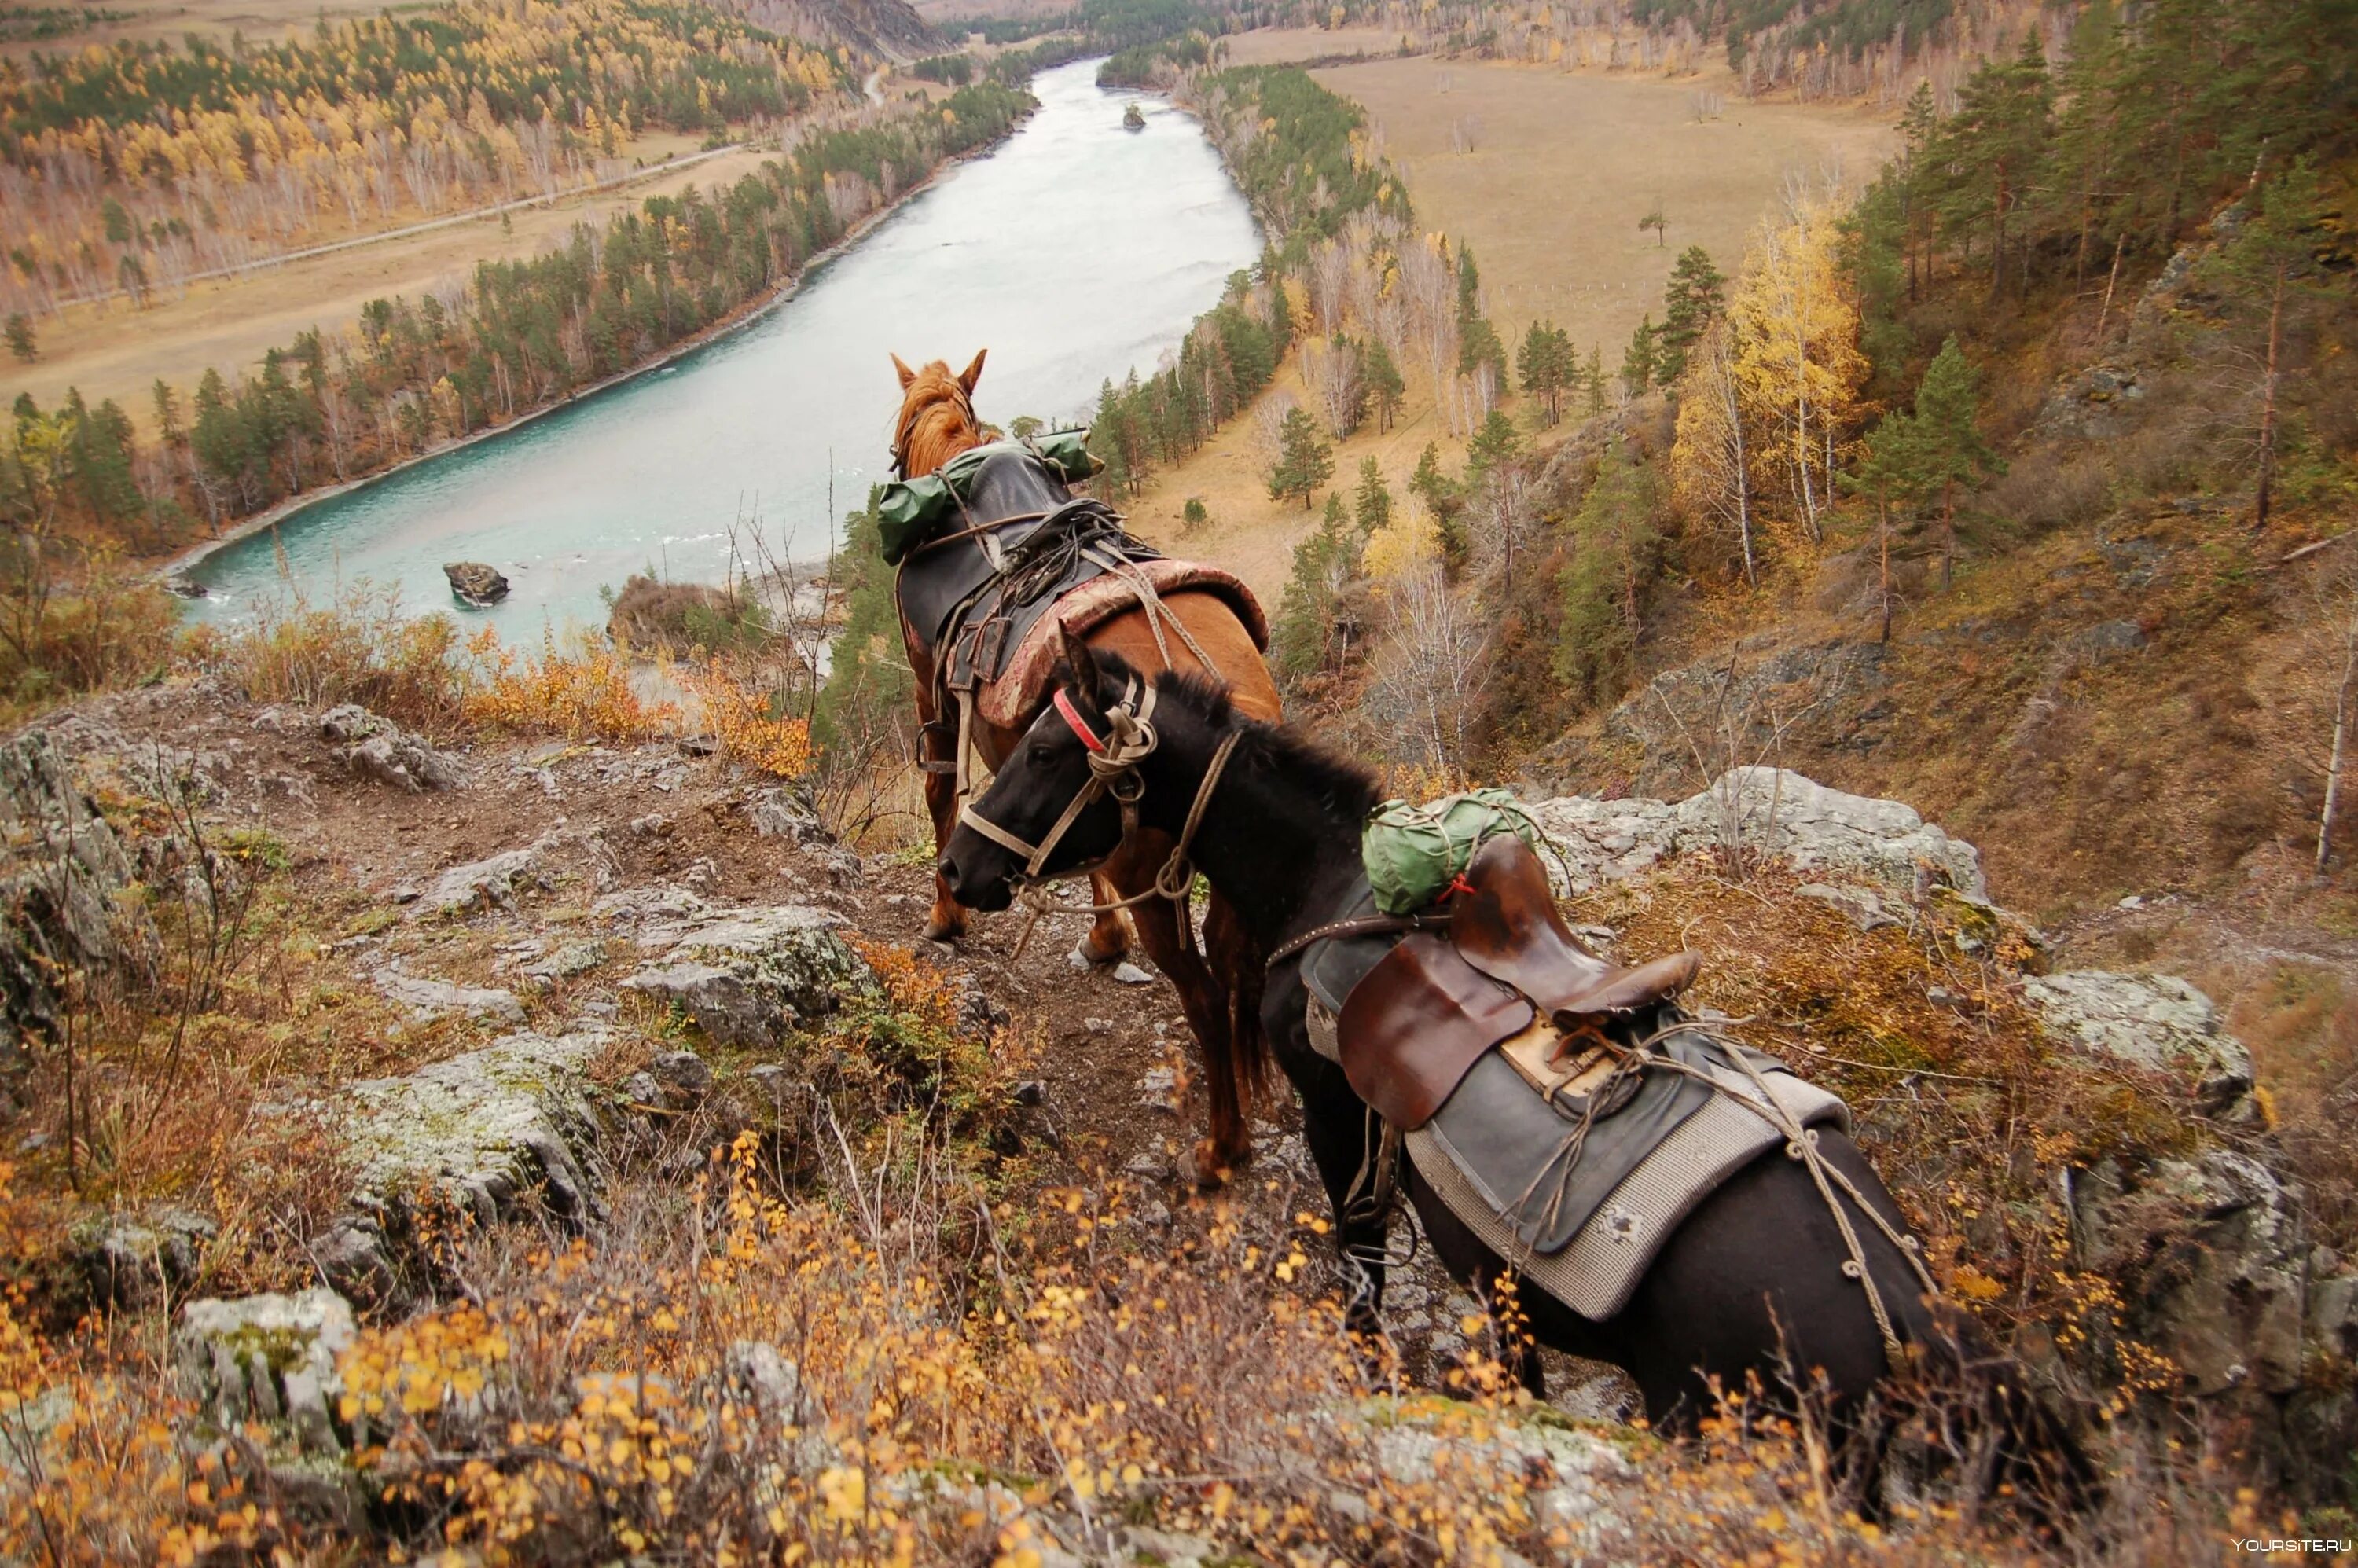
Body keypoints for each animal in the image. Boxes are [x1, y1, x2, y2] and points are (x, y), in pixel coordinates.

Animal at [887, 349, 1292, 1179]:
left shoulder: (931, 693)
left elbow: (942, 800)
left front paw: (944, 918)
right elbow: (1062, 846)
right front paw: (1105, 940)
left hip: (1158, 881)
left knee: (1203, 994)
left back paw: (1223, 1143)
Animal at [934, 641, 2084, 1509]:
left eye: (1046, 746)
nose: (954, 868)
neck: (1331, 882)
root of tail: (1924, 1343)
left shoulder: (1335, 1109)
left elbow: (1361, 1259)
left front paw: (1370, 1376)